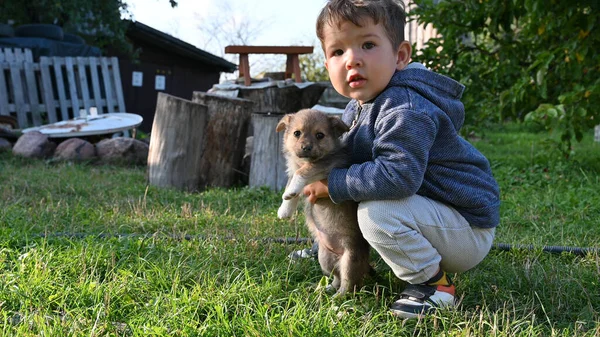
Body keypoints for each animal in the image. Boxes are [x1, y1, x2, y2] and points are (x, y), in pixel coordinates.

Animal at [276, 109, 370, 296]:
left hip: (350, 261)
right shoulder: (293, 167)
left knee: (349, 284)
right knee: (337, 277)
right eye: (297, 133)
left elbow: (301, 173)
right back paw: (324, 290)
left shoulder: (325, 165)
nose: (306, 148)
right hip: (324, 258)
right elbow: (291, 183)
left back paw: (337, 298)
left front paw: (290, 193)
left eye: (320, 135)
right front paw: (285, 209)